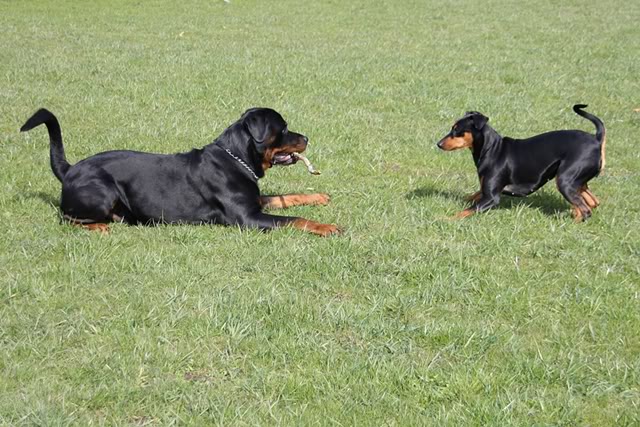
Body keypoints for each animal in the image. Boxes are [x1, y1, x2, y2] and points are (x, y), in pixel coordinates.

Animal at [20, 107, 340, 236]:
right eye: (283, 128)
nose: (306, 138)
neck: (237, 158)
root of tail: (70, 169)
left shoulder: (255, 203)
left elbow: (289, 197)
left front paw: (318, 196)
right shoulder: (247, 218)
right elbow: (294, 219)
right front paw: (326, 227)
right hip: (102, 190)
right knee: (66, 218)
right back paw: (98, 226)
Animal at [438, 105, 608, 222]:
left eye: (457, 130)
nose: (438, 144)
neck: (492, 149)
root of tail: (596, 139)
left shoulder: (492, 197)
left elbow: (465, 211)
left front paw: (444, 219)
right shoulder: (486, 191)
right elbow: (471, 197)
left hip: (565, 181)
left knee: (586, 209)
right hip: (574, 180)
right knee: (592, 202)